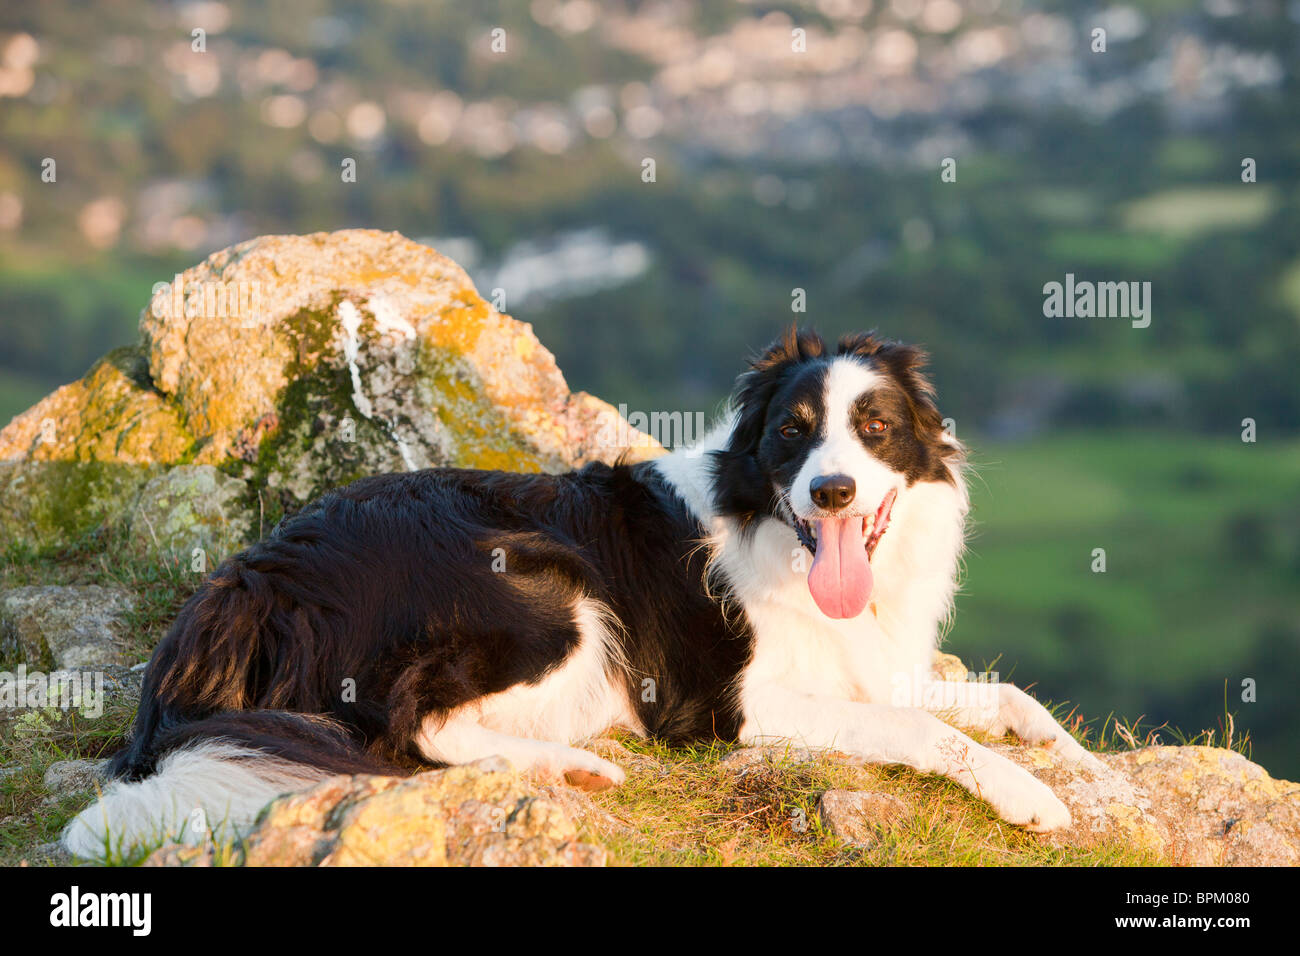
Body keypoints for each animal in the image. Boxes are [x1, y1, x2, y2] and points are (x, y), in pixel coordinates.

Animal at [63, 330, 1097, 858]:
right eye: (793, 433)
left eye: (876, 427)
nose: (832, 492)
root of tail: (248, 578)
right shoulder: (730, 705)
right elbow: (925, 728)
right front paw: (1027, 797)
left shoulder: (876, 670)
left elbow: (1008, 698)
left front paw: (1080, 763)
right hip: (543, 586)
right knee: (415, 727)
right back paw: (577, 768)